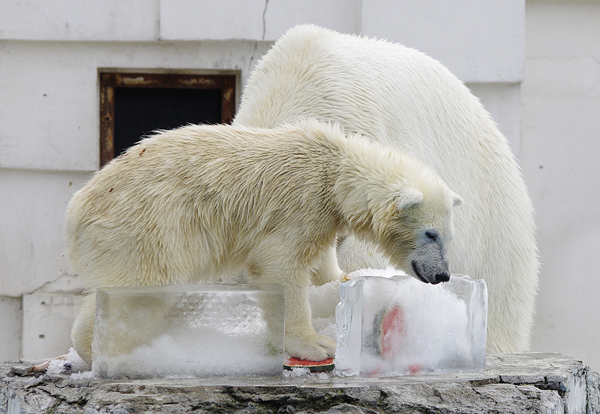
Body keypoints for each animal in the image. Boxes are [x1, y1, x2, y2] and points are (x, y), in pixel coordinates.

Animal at [69, 119, 460, 362]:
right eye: (430, 233)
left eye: (448, 236)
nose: (442, 275)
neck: (335, 173)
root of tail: (77, 211)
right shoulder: (298, 204)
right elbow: (280, 268)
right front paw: (315, 345)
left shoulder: (319, 218)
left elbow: (320, 263)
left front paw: (348, 279)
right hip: (148, 227)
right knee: (141, 292)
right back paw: (106, 351)